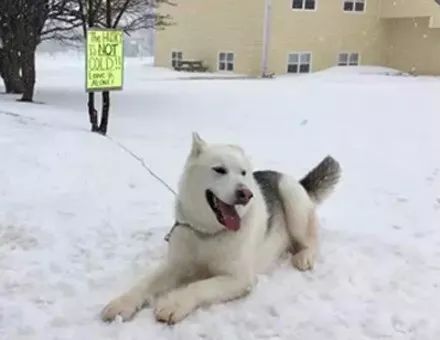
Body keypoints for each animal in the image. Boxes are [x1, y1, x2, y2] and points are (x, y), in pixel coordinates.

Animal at [101, 133, 342, 324]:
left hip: (291, 196)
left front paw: (174, 304)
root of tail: (294, 179)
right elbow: (145, 283)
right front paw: (122, 303)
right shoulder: (175, 265)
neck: (207, 234)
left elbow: (199, 286)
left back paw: (304, 256)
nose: (246, 193)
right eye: (219, 170)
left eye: (243, 173)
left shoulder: (239, 279)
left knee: (311, 240)